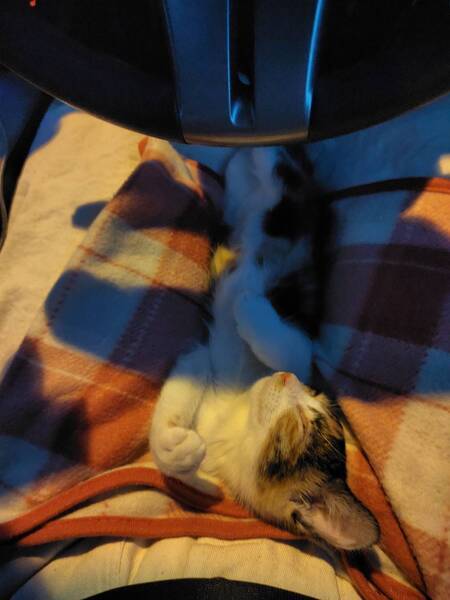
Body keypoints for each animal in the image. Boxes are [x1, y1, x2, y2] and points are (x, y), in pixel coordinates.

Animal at [150, 145, 379, 550]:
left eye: (309, 419)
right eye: (315, 394)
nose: (287, 379)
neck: (234, 413)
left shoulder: (300, 349)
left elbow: (286, 347)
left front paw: (247, 305)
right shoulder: (203, 359)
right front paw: (173, 449)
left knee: (277, 172)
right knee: (266, 167)